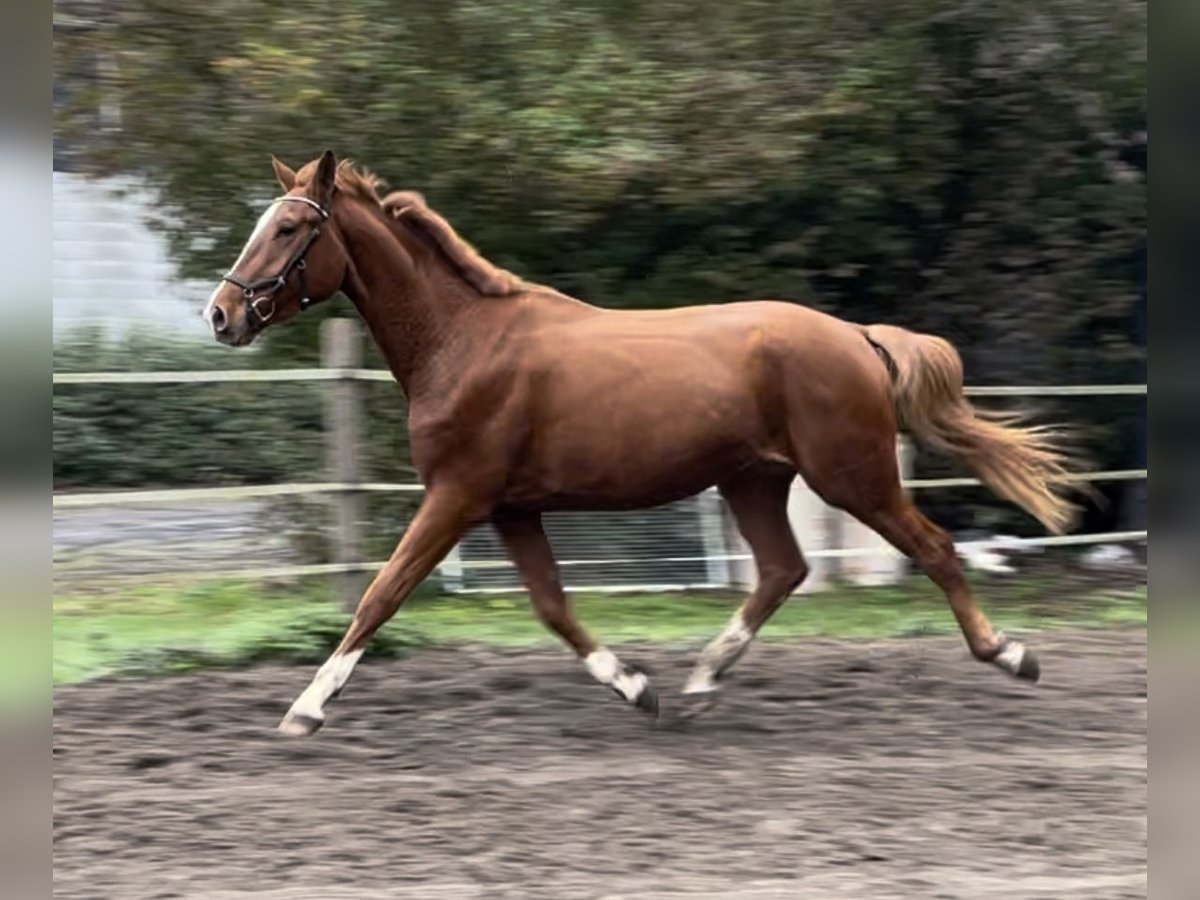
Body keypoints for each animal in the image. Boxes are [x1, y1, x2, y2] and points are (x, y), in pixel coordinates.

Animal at [201, 151, 1075, 734]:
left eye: (288, 227)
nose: (221, 314)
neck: (463, 343)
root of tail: (858, 336)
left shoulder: (457, 496)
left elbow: (380, 595)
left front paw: (305, 709)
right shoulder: (510, 509)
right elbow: (553, 607)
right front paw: (637, 687)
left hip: (851, 476)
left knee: (932, 548)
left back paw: (1012, 655)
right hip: (755, 480)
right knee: (782, 571)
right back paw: (698, 684)